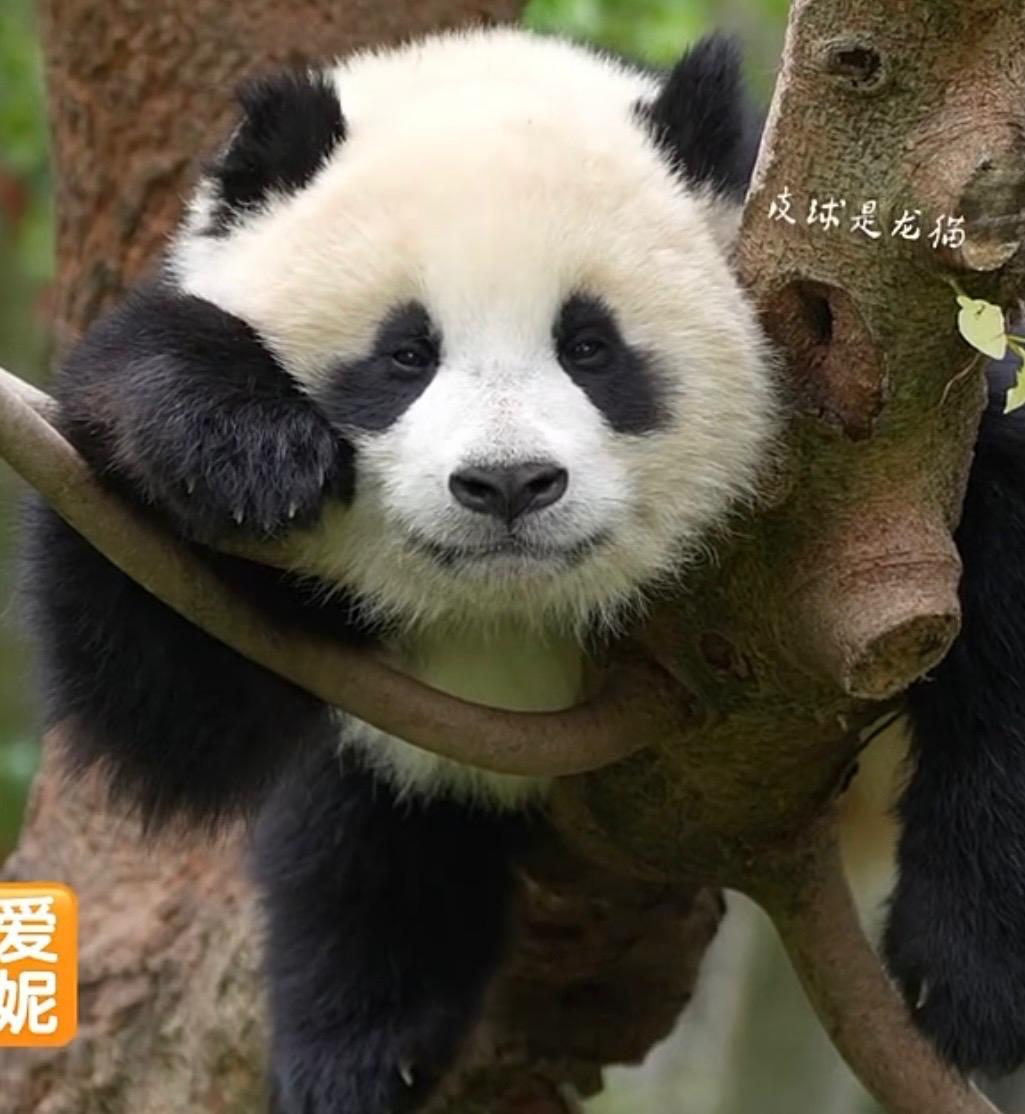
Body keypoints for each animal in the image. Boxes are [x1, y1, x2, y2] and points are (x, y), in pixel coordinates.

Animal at [19, 23, 1025, 1113]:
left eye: (588, 346)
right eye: (404, 355)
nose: (508, 484)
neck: (514, 613)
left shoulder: (905, 465)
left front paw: (968, 980)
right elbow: (172, 713)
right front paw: (230, 432)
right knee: (361, 825)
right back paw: (359, 1039)